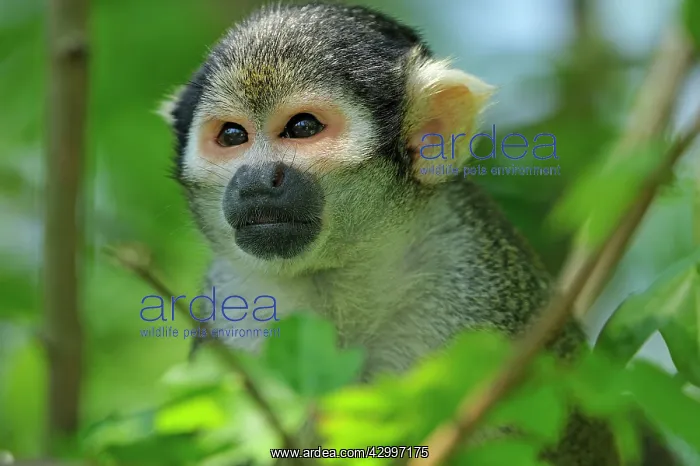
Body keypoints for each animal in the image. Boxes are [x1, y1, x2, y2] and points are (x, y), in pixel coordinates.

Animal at [157, 3, 675, 465]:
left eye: (302, 127)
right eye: (231, 136)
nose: (258, 181)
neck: (342, 277)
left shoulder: (487, 298)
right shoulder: (234, 311)